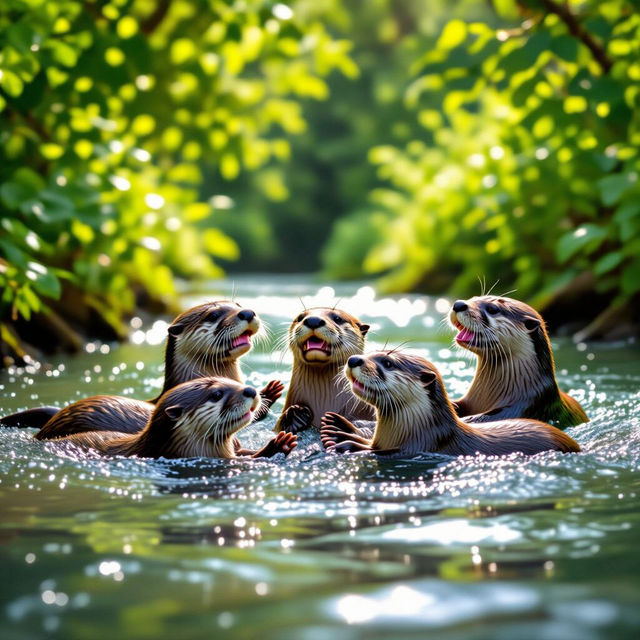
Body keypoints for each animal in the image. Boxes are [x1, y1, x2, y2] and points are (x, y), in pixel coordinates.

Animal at [320, 351, 580, 457]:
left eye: (387, 362)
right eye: (371, 353)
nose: (354, 359)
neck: (418, 428)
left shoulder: (420, 446)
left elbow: (378, 452)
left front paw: (348, 446)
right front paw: (338, 429)